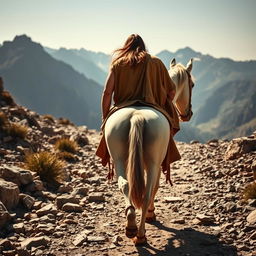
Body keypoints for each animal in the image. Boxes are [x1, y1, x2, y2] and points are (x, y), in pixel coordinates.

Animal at [104, 58, 194, 246]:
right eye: (192, 84)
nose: (188, 114)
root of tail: (137, 116)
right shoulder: (158, 163)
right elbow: (156, 186)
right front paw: (152, 213)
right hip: (153, 162)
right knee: (146, 192)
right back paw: (140, 235)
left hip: (119, 158)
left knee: (125, 185)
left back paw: (131, 225)